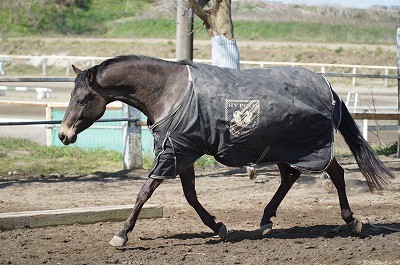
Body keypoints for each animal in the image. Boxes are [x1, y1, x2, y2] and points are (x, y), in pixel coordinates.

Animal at [57, 54, 396, 246]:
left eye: (82, 99)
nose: (63, 135)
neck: (169, 92)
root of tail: (332, 90)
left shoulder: (175, 153)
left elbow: (145, 192)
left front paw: (121, 235)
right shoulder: (182, 150)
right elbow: (190, 196)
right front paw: (219, 227)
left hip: (311, 149)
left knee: (336, 173)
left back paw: (353, 221)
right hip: (280, 149)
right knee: (289, 178)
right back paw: (265, 221)